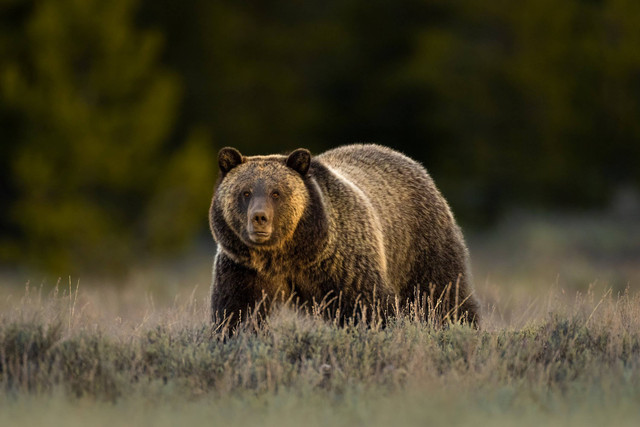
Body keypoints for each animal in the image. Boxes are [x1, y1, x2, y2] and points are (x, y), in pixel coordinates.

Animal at [209, 144, 479, 328]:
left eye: (276, 193)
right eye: (245, 192)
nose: (259, 218)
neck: (287, 254)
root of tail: (411, 161)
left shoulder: (341, 262)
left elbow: (368, 305)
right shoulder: (244, 269)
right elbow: (237, 312)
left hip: (419, 242)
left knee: (440, 292)